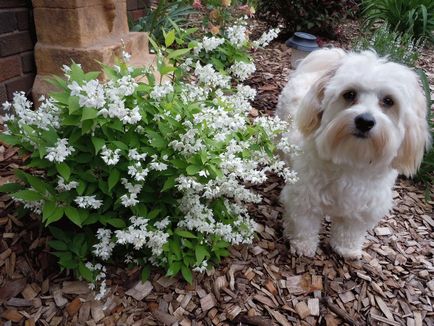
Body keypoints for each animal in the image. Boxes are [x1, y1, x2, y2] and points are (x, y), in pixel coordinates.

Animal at [276, 48, 432, 258]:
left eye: (388, 101)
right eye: (349, 94)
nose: (365, 121)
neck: (351, 159)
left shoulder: (364, 208)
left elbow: (350, 230)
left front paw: (347, 249)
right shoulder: (303, 197)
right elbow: (304, 224)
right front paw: (303, 245)